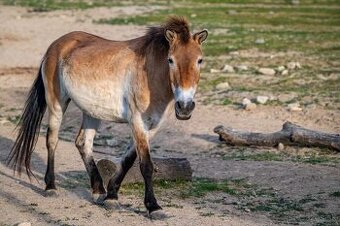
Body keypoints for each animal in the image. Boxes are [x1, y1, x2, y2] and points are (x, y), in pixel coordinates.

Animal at [7, 16, 207, 213]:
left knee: (83, 143)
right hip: (57, 104)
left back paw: (98, 191)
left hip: (91, 111)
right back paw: (51, 187)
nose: (185, 107)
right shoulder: (137, 122)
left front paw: (111, 196)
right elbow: (146, 165)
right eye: (170, 60)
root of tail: (56, 45)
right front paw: (153, 206)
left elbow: (128, 160)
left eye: (200, 60)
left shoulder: (152, 126)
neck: (150, 74)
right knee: (52, 140)